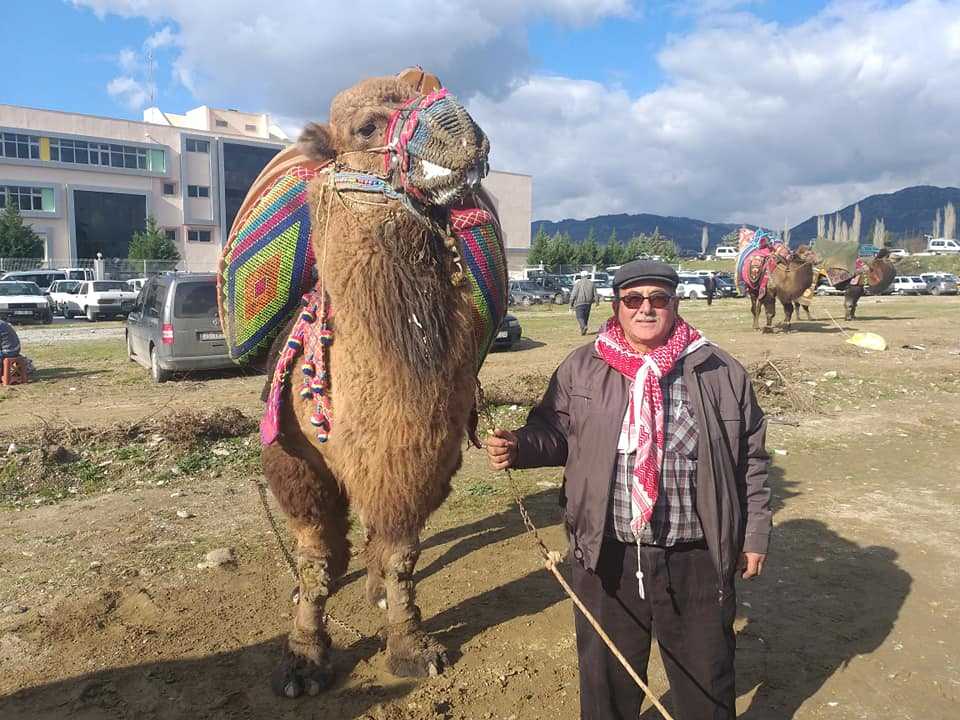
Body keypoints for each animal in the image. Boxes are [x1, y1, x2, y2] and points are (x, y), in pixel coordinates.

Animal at [221, 71, 506, 696]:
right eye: (367, 127)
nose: (466, 131)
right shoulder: (296, 464)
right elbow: (316, 561)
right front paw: (304, 657)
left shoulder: (421, 460)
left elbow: (401, 552)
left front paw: (410, 644)